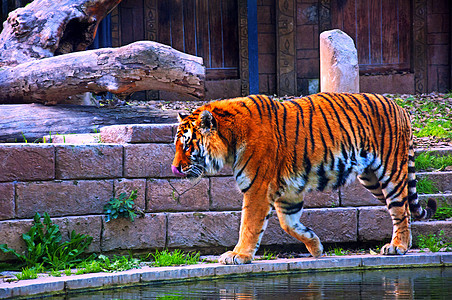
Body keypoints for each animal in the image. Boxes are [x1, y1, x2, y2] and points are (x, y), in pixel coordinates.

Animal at [171, 92, 436, 264]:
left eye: (187, 145)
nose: (174, 168)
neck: (230, 138)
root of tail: (400, 107)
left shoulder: (258, 188)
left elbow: (249, 225)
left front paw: (238, 255)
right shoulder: (287, 192)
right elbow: (289, 224)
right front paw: (316, 247)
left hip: (391, 172)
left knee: (401, 210)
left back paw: (398, 247)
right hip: (371, 179)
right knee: (404, 208)